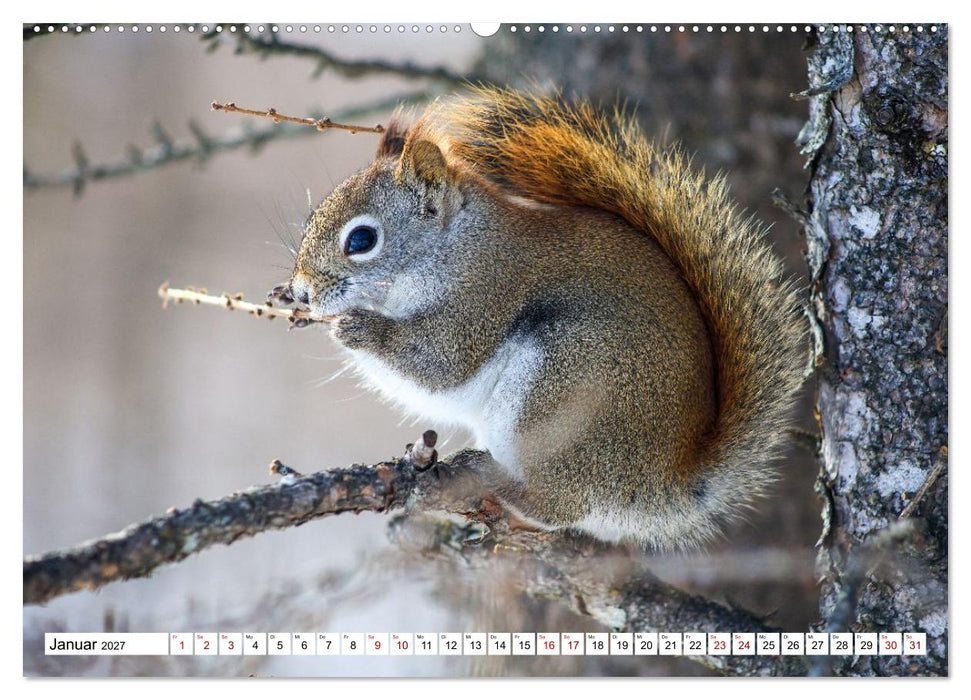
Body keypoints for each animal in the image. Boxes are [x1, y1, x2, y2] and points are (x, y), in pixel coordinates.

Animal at [287, 87, 806, 549]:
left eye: (361, 240)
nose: (301, 290)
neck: (454, 247)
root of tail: (664, 483)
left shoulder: (484, 298)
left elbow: (441, 363)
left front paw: (356, 326)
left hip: (565, 385)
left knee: (563, 505)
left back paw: (504, 486)